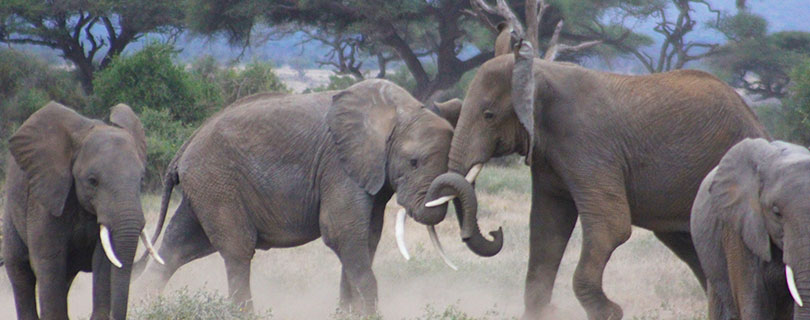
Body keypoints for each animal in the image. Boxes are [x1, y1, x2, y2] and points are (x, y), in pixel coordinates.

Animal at [1, 102, 161, 320]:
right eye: (93, 181)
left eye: (141, 180)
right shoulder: (46, 201)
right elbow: (49, 263)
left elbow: (104, 262)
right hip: (11, 211)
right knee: (20, 272)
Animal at [134, 79, 468, 314]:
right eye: (413, 162)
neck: (400, 111)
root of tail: (185, 146)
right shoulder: (339, 165)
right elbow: (342, 234)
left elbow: (365, 240)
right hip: (217, 183)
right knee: (237, 252)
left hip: (205, 187)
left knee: (177, 246)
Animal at [422, 40, 772, 320]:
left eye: (488, 115)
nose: (497, 232)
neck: (538, 71)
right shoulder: (548, 155)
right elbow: (547, 231)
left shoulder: (587, 143)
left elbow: (610, 226)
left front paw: (610, 312)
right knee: (693, 250)